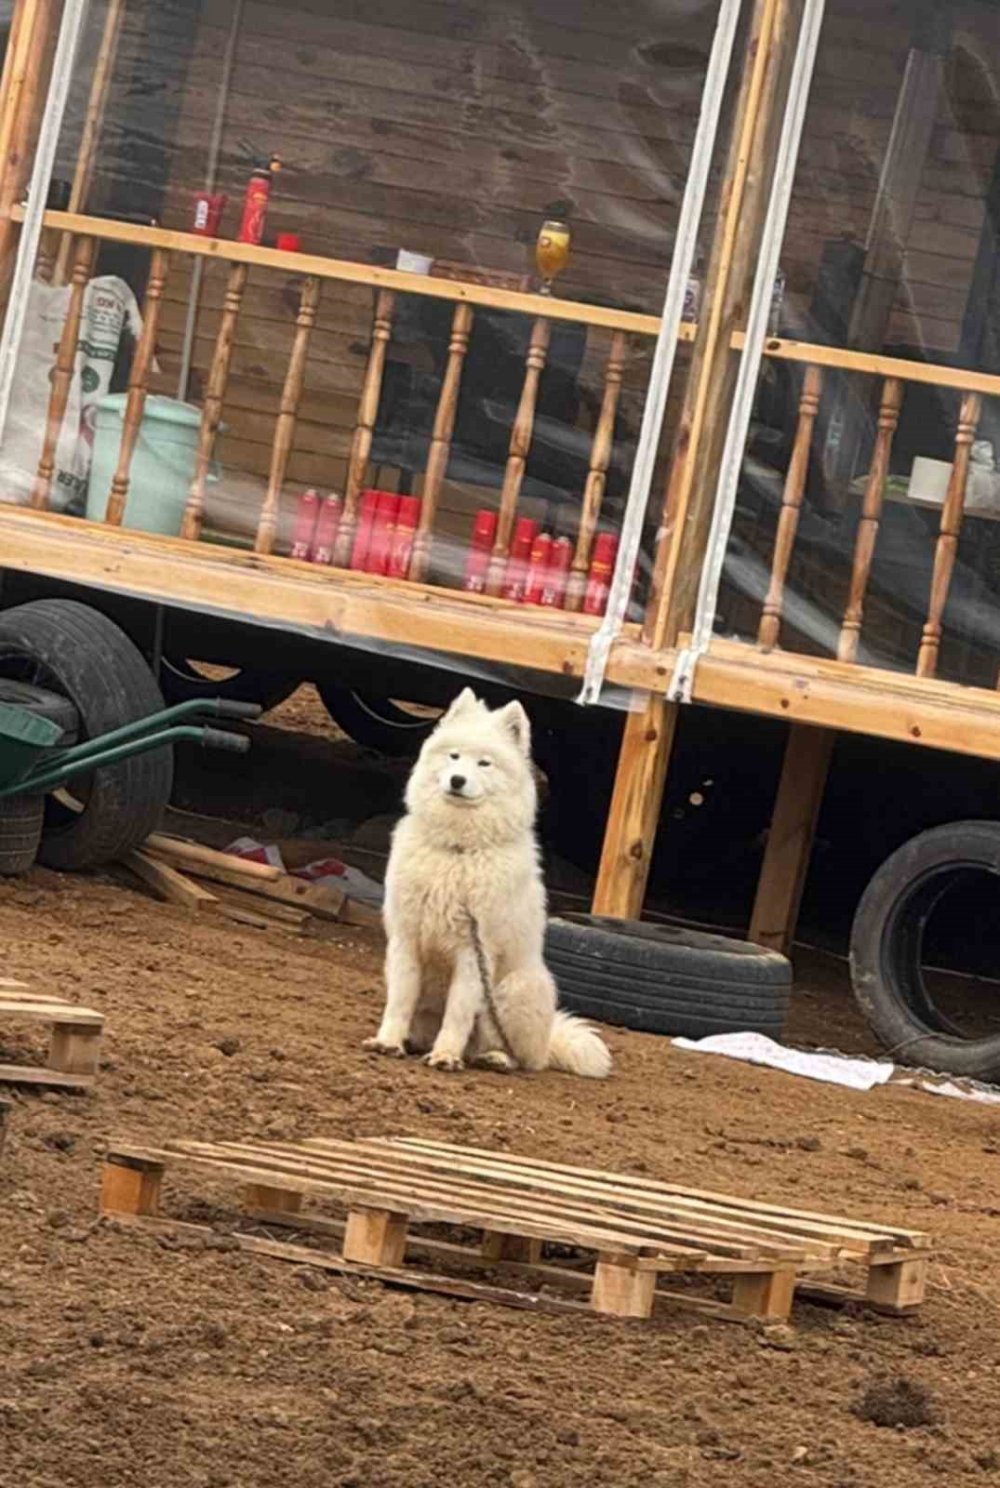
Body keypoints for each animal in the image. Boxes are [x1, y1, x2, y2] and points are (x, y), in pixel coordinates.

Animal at [364, 684, 610, 1083]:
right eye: (454, 756)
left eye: (484, 763)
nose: (457, 780)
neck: (459, 850)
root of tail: (546, 1042)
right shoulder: (406, 941)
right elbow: (399, 1000)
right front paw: (387, 1042)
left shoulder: (473, 951)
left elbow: (458, 1014)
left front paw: (445, 1057)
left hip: (513, 990)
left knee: (519, 1056)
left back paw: (494, 1058)